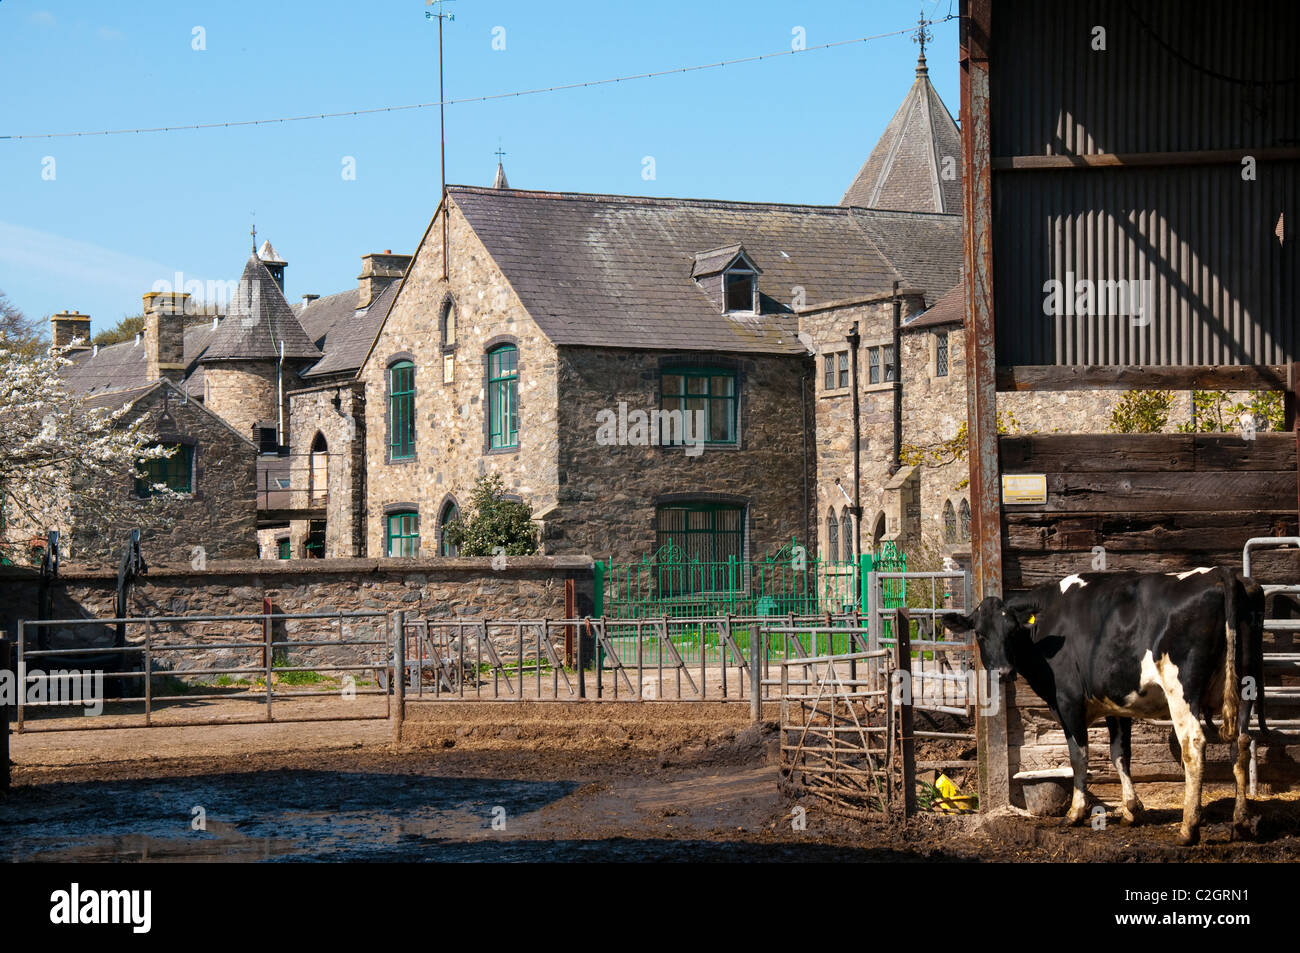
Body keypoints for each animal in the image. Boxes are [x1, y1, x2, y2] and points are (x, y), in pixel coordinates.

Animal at [946, 561, 1258, 842]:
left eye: (1012, 632)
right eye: (980, 633)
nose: (1004, 672)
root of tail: (1220, 573)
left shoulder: (1067, 700)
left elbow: (1079, 756)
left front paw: (1075, 813)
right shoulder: (1117, 704)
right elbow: (1120, 754)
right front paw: (1131, 810)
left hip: (1181, 690)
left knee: (1193, 745)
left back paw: (1188, 828)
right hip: (1247, 683)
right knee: (1242, 742)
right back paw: (1241, 822)